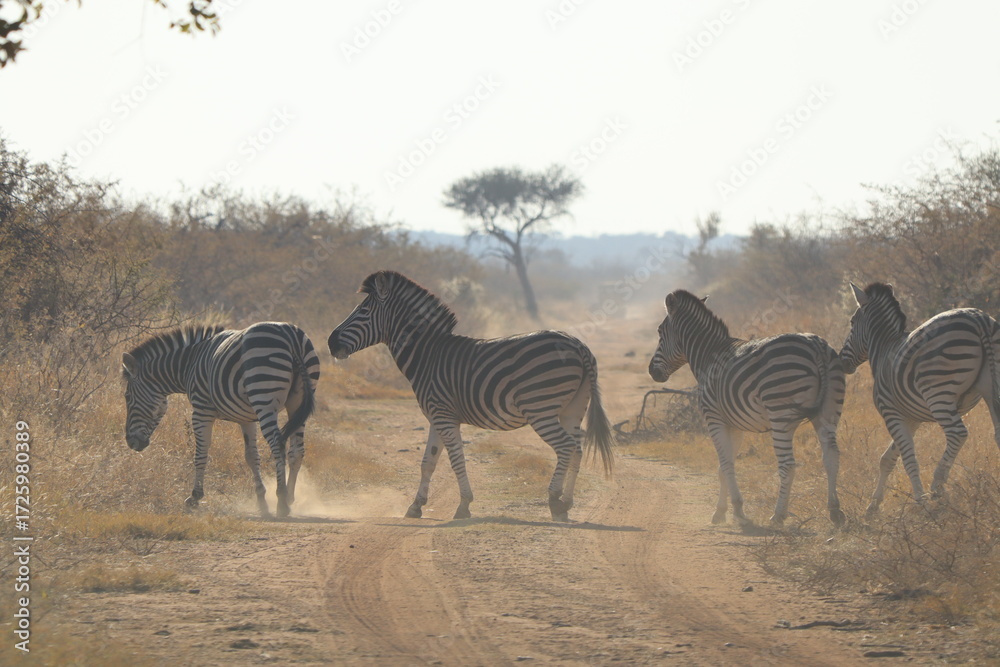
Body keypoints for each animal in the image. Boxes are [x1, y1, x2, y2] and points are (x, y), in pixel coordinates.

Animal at [122, 322, 320, 518]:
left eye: (127, 397)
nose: (130, 442)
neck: (189, 364)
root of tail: (290, 335)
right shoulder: (247, 419)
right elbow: (251, 456)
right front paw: (261, 501)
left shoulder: (201, 411)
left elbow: (200, 454)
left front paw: (195, 497)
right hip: (297, 401)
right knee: (297, 451)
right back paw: (291, 498)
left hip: (264, 397)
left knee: (277, 444)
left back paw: (282, 501)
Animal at [326, 270, 614, 522]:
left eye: (363, 311)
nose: (330, 342)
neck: (427, 355)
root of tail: (578, 345)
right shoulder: (436, 417)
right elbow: (428, 462)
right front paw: (416, 506)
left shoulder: (443, 415)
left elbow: (456, 460)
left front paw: (463, 506)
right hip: (573, 408)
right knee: (577, 448)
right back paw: (567, 503)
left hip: (540, 409)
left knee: (565, 447)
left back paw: (555, 501)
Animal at [648, 290, 846, 527]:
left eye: (660, 333)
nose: (651, 371)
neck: (708, 355)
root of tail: (814, 343)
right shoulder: (734, 424)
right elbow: (724, 467)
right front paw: (723, 511)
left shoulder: (713, 418)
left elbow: (725, 464)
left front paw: (736, 511)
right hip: (829, 410)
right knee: (831, 456)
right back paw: (835, 511)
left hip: (780, 414)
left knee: (788, 465)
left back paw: (778, 516)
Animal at [840, 282, 1000, 514]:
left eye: (852, 322)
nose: (841, 360)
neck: (884, 347)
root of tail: (978, 318)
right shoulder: (911, 418)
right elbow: (888, 458)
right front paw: (873, 506)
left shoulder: (891, 413)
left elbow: (908, 459)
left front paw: (921, 502)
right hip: (991, 386)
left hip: (938, 392)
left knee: (957, 433)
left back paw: (937, 486)